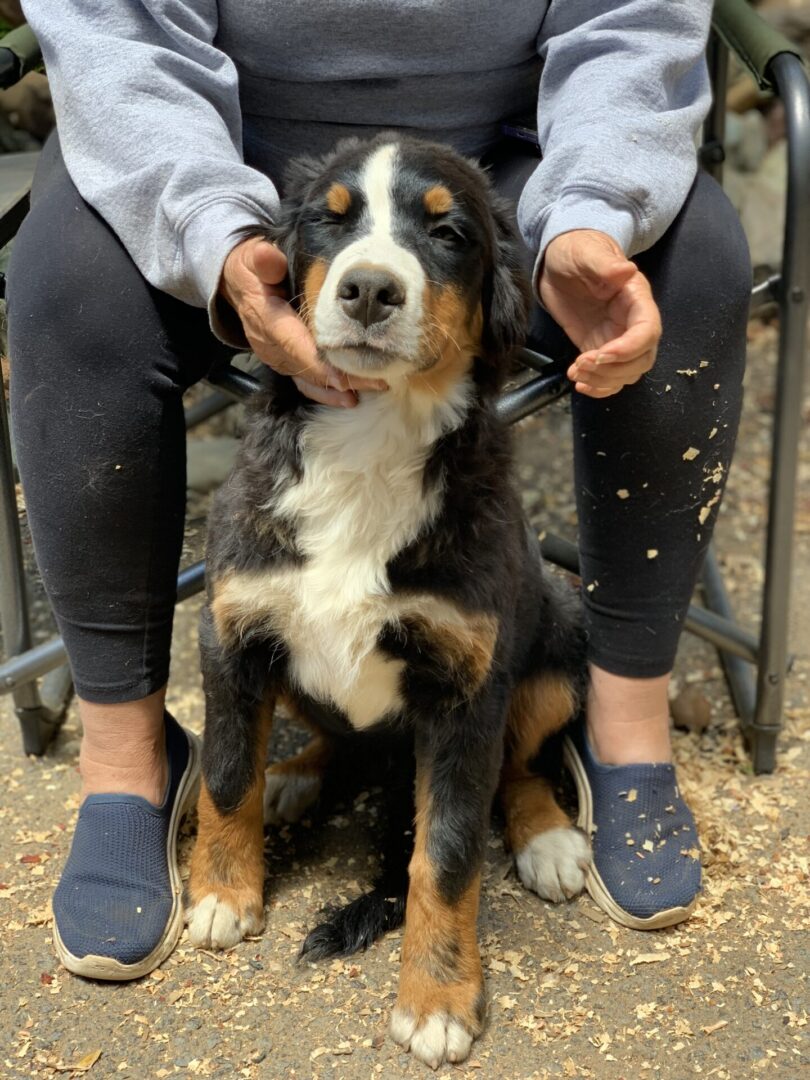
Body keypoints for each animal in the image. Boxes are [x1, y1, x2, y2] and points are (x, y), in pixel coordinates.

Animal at [186, 137, 591, 1071]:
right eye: (330, 221)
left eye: (447, 232)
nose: (371, 289)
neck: (369, 445)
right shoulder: (232, 633)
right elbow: (225, 774)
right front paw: (223, 893)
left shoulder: (466, 687)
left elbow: (445, 852)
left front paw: (437, 1000)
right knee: (333, 740)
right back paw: (295, 776)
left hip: (558, 644)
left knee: (520, 765)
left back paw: (548, 836)